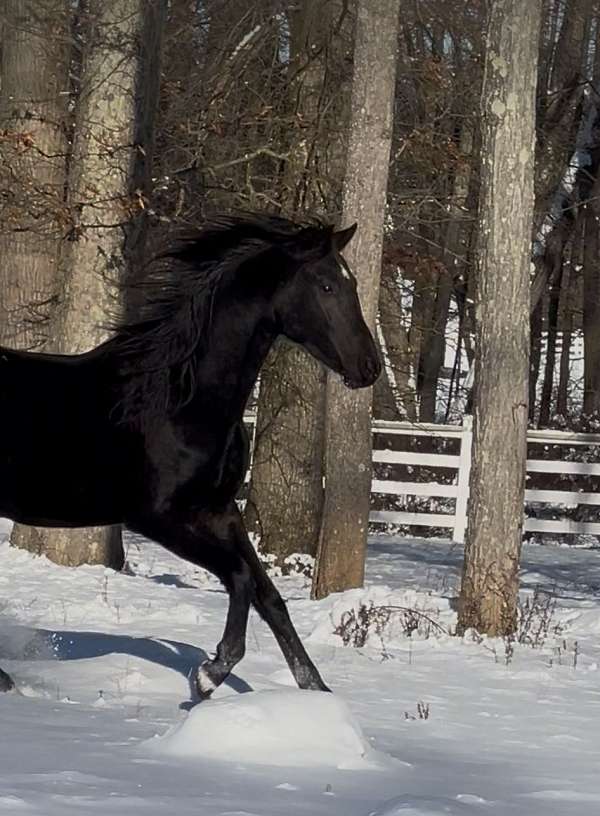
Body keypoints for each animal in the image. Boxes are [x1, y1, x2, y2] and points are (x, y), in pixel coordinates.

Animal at [0, 214, 381, 696]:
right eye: (327, 285)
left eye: (352, 283)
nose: (370, 367)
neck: (181, 400)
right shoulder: (158, 518)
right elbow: (239, 577)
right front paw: (209, 673)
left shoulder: (220, 510)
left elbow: (268, 595)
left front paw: (316, 690)